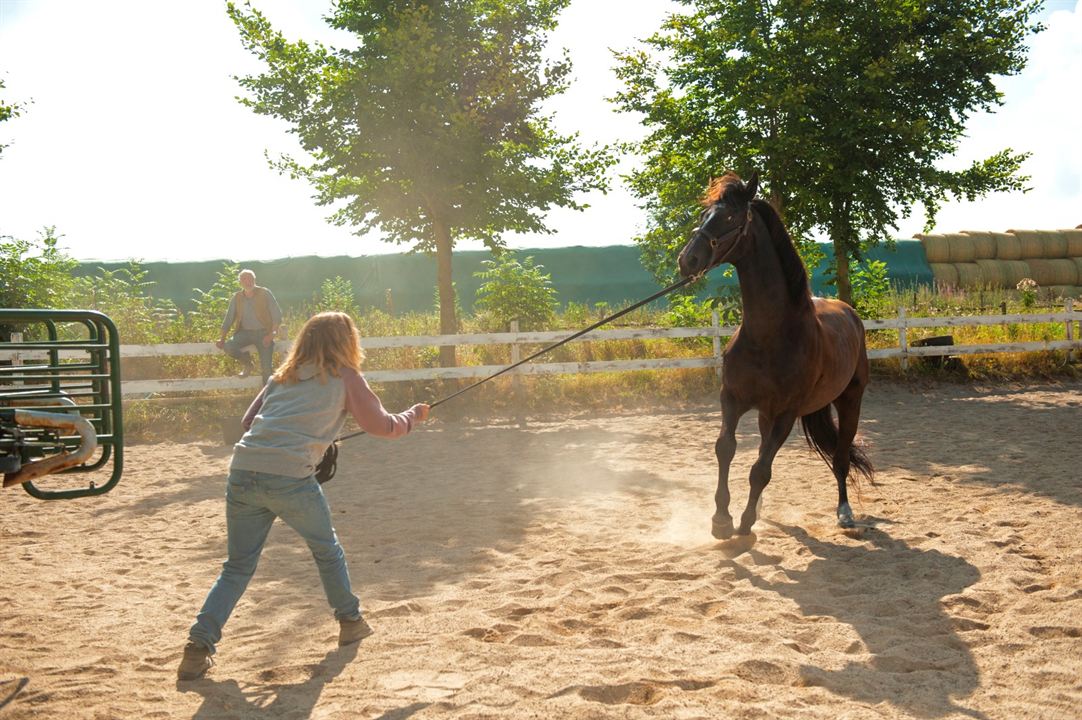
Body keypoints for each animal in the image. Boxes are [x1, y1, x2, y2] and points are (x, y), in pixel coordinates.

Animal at [679, 171, 874, 537]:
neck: (769, 336)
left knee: (840, 457)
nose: (687, 260)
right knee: (762, 451)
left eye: (731, 217)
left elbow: (760, 469)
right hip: (764, 414)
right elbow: (726, 449)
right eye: (703, 214)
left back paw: (844, 512)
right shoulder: (732, 400)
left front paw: (742, 523)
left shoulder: (786, 413)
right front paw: (722, 519)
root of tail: (849, 313)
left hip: (850, 401)